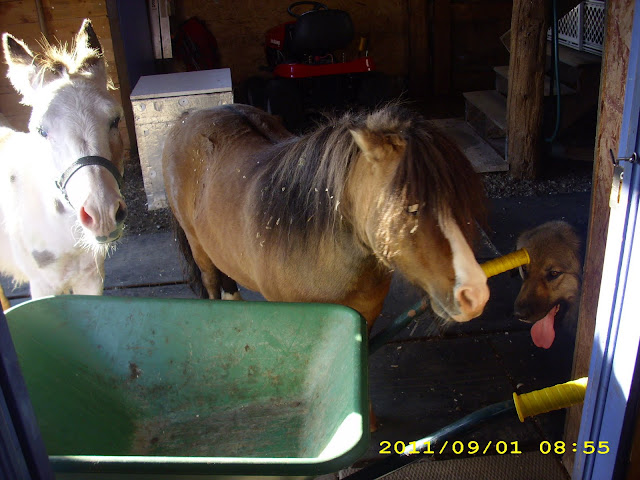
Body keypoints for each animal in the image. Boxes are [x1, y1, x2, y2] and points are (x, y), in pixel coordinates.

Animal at [162, 104, 488, 330]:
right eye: (411, 207)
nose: (474, 294)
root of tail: (188, 116)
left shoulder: (364, 317)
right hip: (197, 245)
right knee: (211, 279)